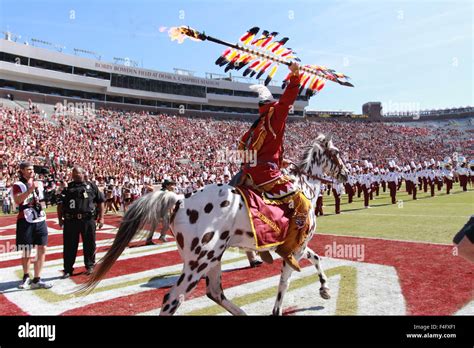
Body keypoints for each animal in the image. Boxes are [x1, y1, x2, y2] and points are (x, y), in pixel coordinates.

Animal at [80, 133, 348, 316]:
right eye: (337, 153)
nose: (345, 174)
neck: (305, 187)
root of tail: (180, 199)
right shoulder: (295, 248)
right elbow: (285, 282)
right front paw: (280, 308)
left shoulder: (294, 247)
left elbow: (316, 258)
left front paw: (324, 289)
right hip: (199, 262)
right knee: (172, 299)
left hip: (212, 258)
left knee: (214, 292)